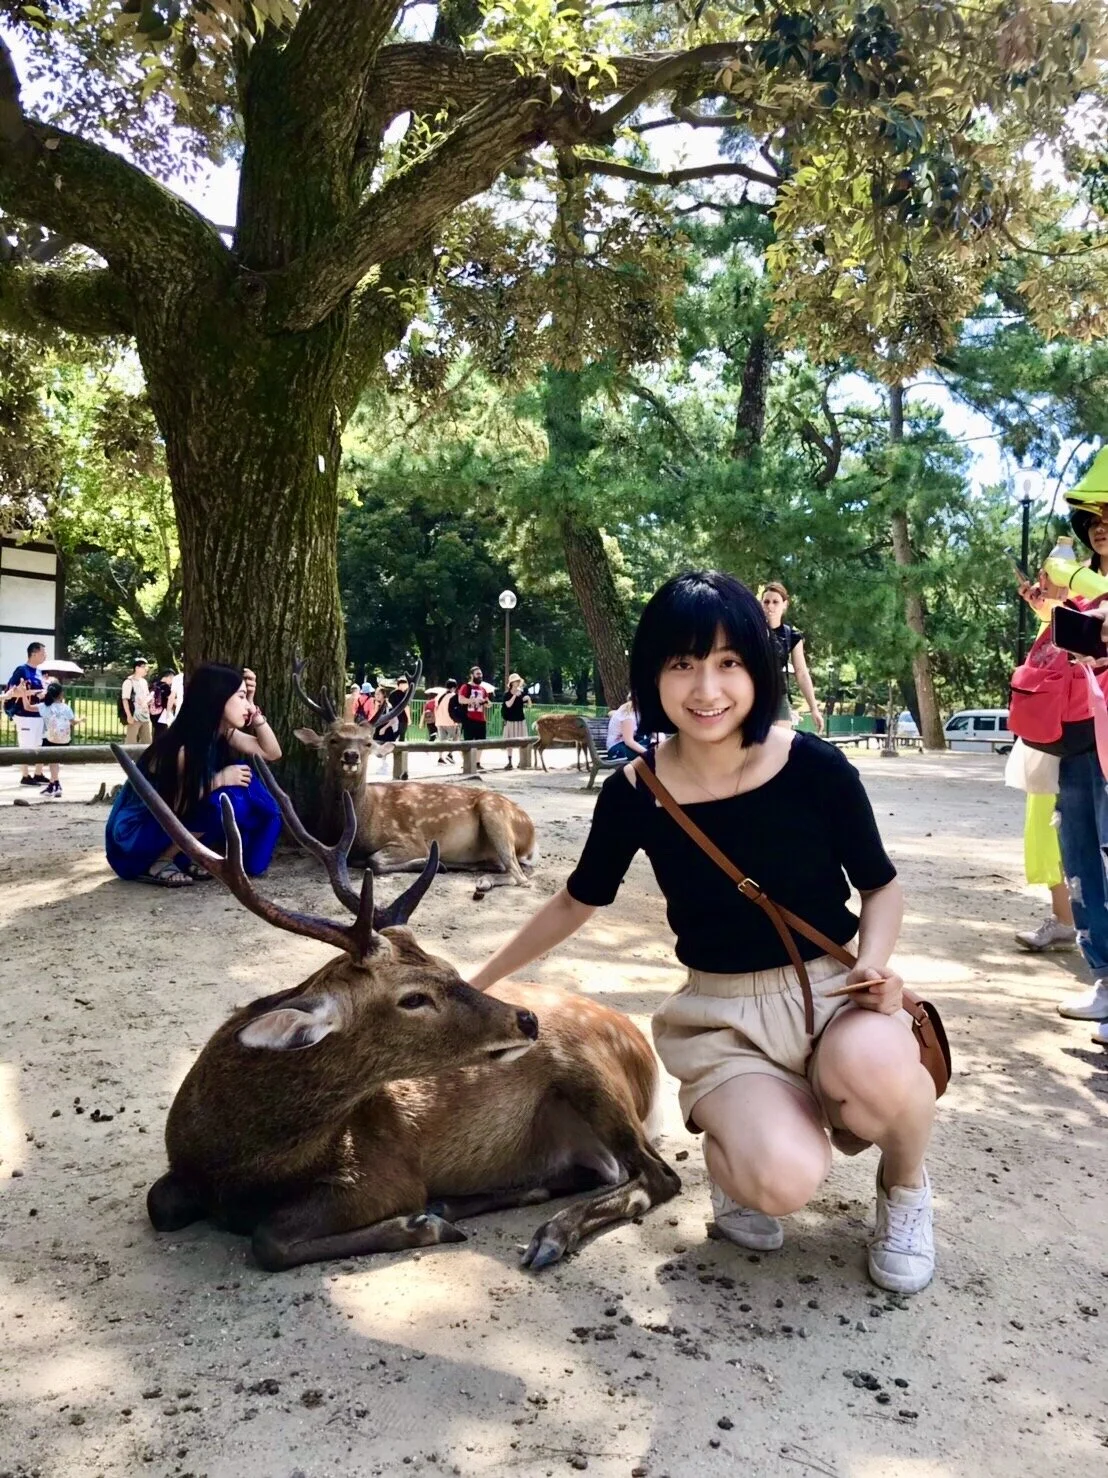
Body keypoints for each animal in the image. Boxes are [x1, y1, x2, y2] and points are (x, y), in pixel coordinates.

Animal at [111, 744, 681, 1273]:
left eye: (447, 965)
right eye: (413, 997)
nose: (526, 1018)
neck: (238, 1161)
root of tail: (644, 1057)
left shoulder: (384, 1171)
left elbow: (268, 1239)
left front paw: (420, 1224)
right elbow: (159, 1203)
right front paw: (436, 1216)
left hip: (592, 1074)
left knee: (658, 1175)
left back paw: (547, 1234)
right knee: (605, 1171)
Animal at [292, 659, 538, 889]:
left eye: (368, 743)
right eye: (333, 740)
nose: (351, 756)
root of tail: (531, 832)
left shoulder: (411, 840)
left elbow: (375, 860)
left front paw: (433, 864)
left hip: (494, 812)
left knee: (520, 876)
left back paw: (478, 879)